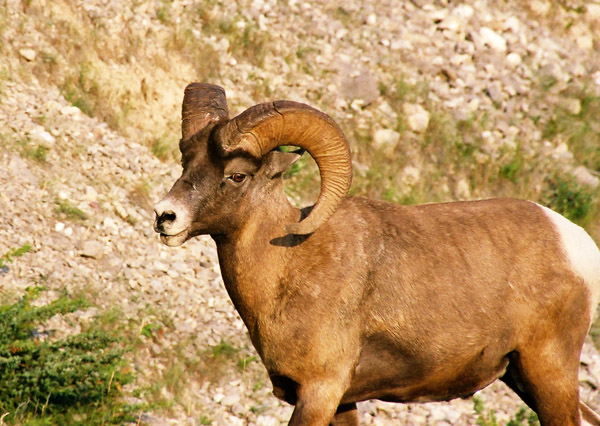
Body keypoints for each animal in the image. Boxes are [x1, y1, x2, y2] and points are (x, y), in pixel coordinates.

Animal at [155, 83, 600, 426]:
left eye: (237, 175)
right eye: (186, 161)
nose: (165, 216)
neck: (289, 268)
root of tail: (576, 243)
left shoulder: (319, 391)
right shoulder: (343, 400)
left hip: (549, 372)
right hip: (523, 377)